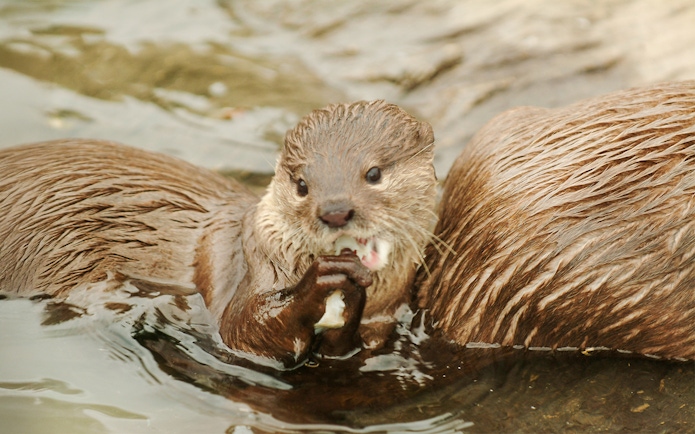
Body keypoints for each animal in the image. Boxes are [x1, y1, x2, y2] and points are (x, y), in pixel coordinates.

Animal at [0, 100, 437, 368]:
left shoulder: (383, 320)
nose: (335, 211)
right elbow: (243, 330)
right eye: (302, 184)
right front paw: (321, 282)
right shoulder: (246, 263)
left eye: (374, 173)